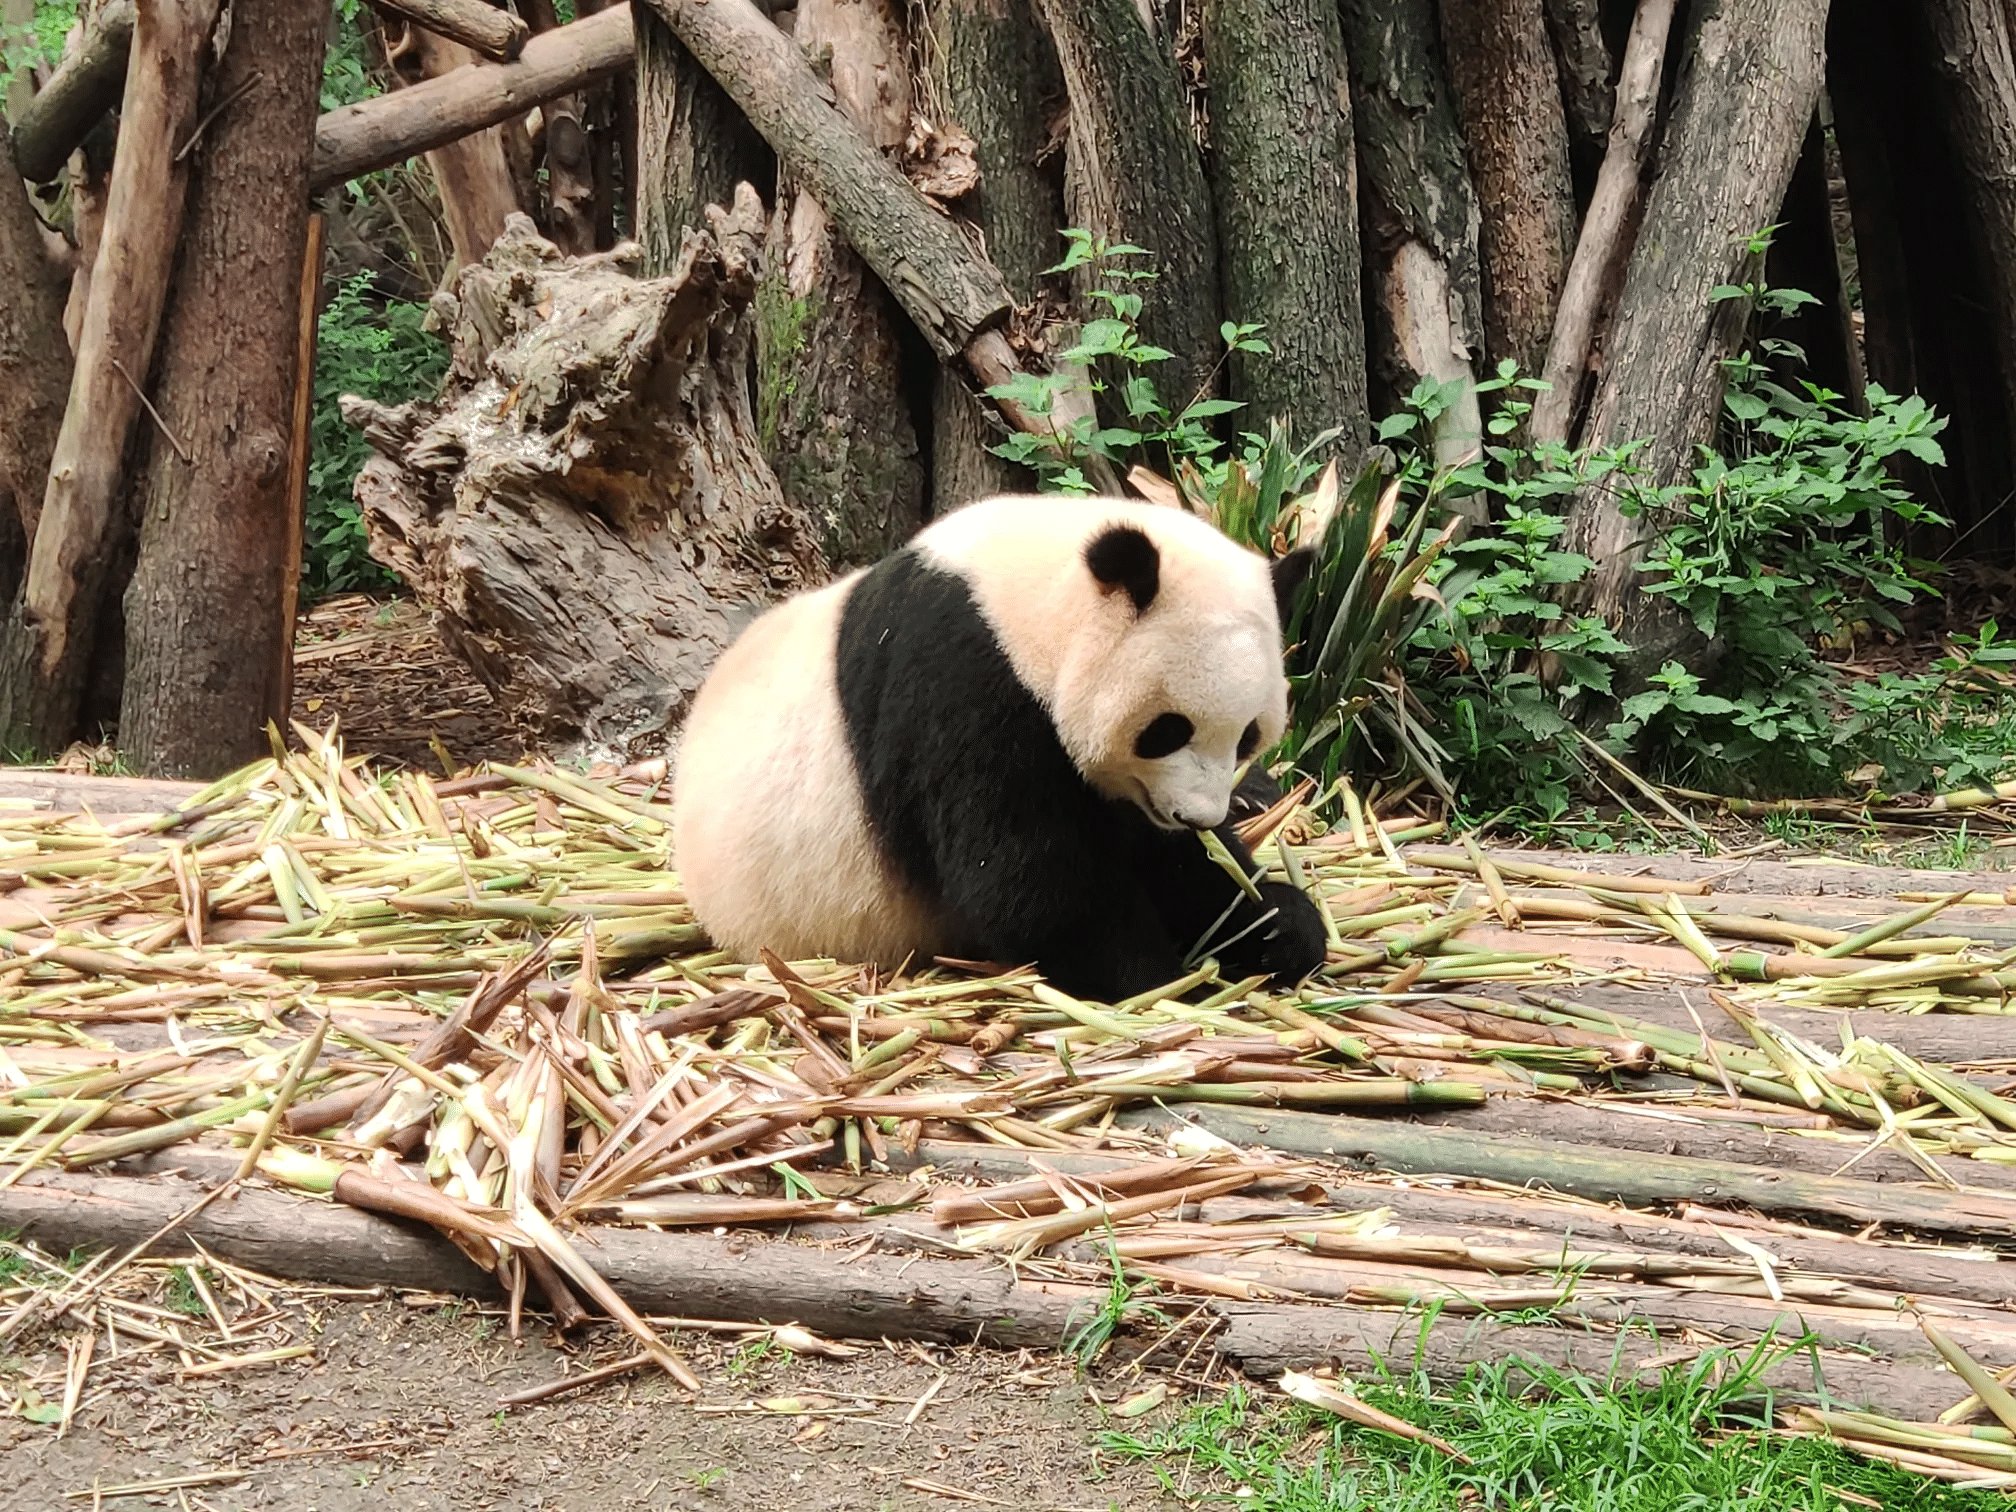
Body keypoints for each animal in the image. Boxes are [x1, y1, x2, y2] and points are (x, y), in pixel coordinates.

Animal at [670, 494, 1329, 1003]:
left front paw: (1279, 927)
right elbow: (1023, 879)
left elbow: (1174, 862)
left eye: (1248, 736)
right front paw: (1158, 979)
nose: (1197, 815)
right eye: (1169, 729)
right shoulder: (963, 684)